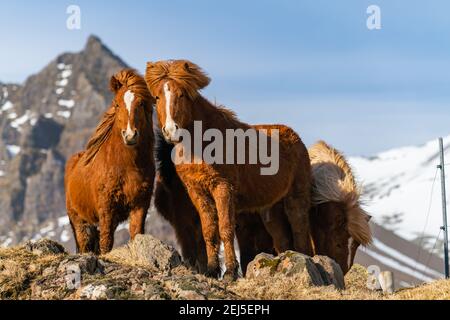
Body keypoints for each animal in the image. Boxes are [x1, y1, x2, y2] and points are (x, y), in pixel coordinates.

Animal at [64, 69, 156, 254]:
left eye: (141, 104)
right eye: (117, 104)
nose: (130, 135)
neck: (127, 166)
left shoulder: (140, 204)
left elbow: (136, 234)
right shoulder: (106, 208)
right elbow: (106, 243)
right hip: (80, 221)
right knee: (85, 244)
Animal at [146, 60, 312, 280]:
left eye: (182, 95)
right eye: (157, 97)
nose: (171, 130)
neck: (202, 142)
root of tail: (296, 138)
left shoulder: (222, 188)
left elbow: (225, 228)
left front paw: (231, 272)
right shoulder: (197, 192)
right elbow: (209, 231)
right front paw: (212, 270)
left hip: (296, 198)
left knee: (300, 230)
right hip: (272, 208)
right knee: (283, 238)